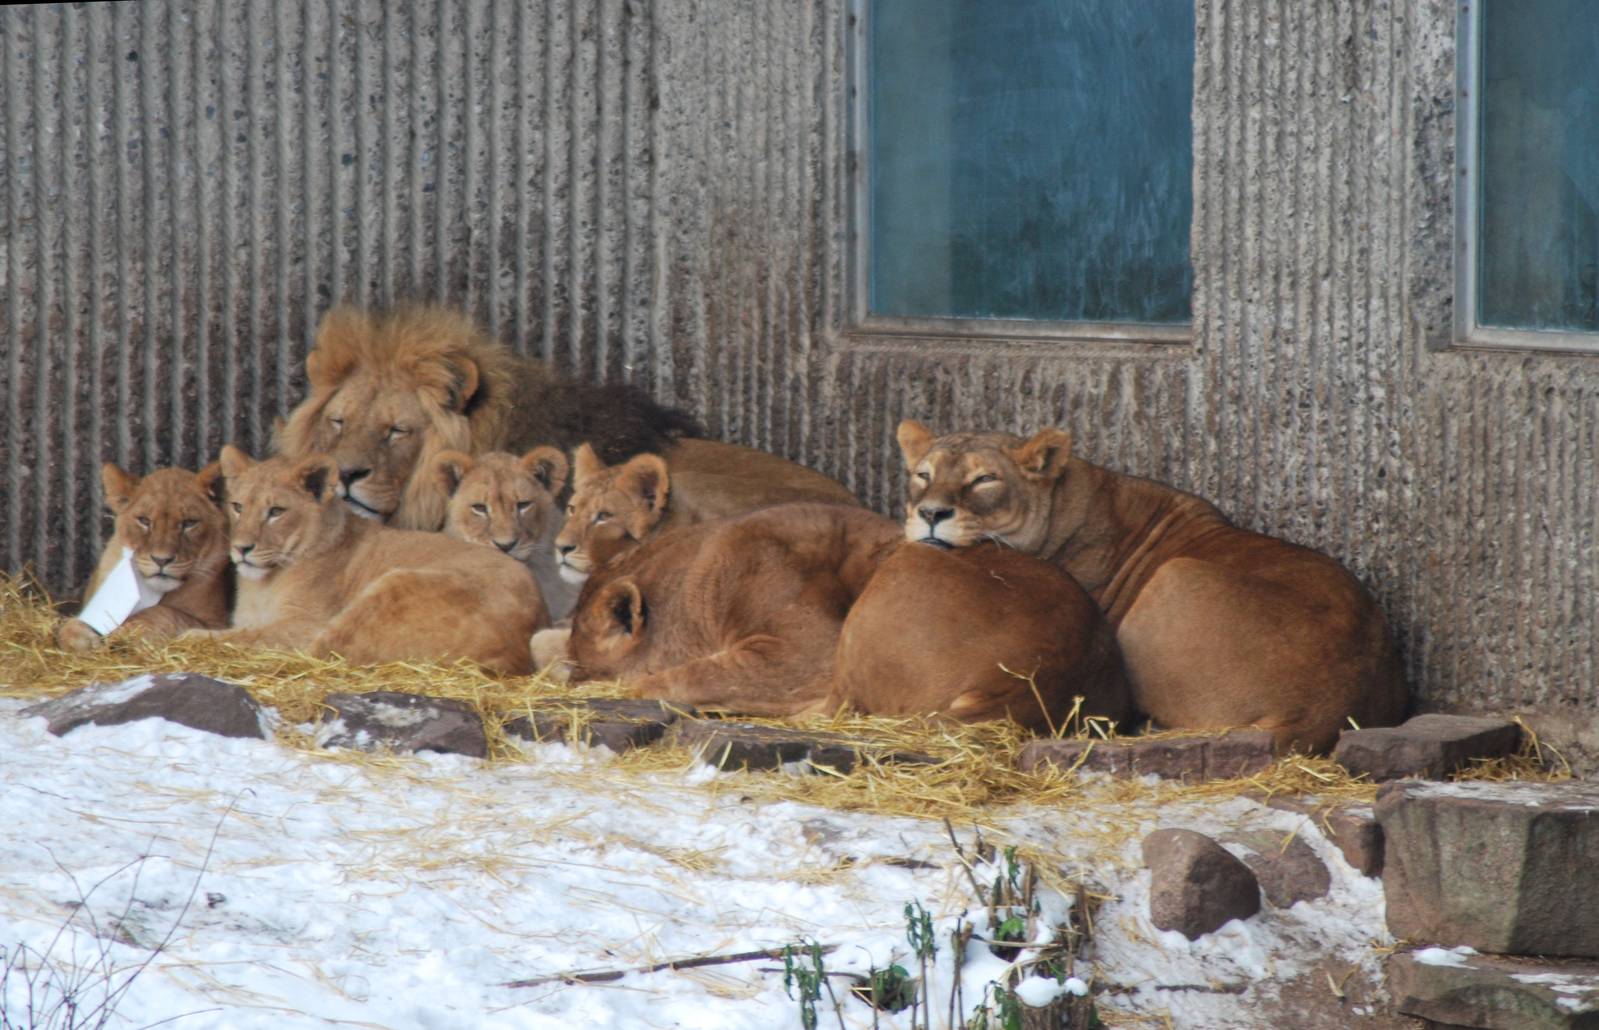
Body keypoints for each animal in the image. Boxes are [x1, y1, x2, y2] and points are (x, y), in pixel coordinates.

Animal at [56, 463, 232, 652]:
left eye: (189, 523)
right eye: (144, 520)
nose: (161, 560)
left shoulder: (214, 623)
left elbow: (163, 612)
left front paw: (124, 632)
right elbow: (73, 623)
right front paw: (79, 639)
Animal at [187, 445, 546, 675]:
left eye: (276, 511)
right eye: (237, 506)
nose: (241, 548)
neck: (262, 584)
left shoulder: (306, 621)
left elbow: (254, 636)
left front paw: (193, 636)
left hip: (395, 583)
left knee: (321, 649)